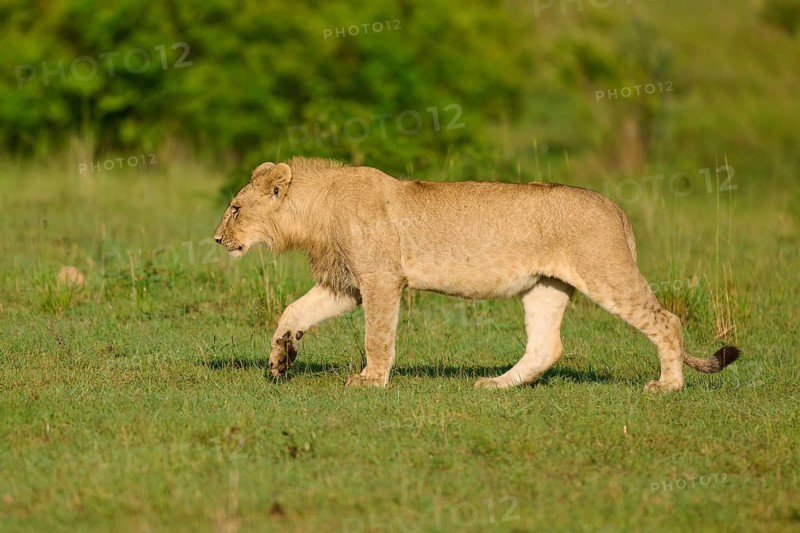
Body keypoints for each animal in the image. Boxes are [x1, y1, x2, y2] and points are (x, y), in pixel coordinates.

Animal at [213, 157, 739, 391]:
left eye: (235, 208)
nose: (217, 240)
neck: (315, 212)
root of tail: (616, 208)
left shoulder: (381, 279)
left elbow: (377, 336)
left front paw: (371, 380)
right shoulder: (346, 284)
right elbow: (292, 311)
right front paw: (280, 360)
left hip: (606, 273)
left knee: (667, 321)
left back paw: (668, 386)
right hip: (546, 286)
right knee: (546, 346)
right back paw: (496, 386)